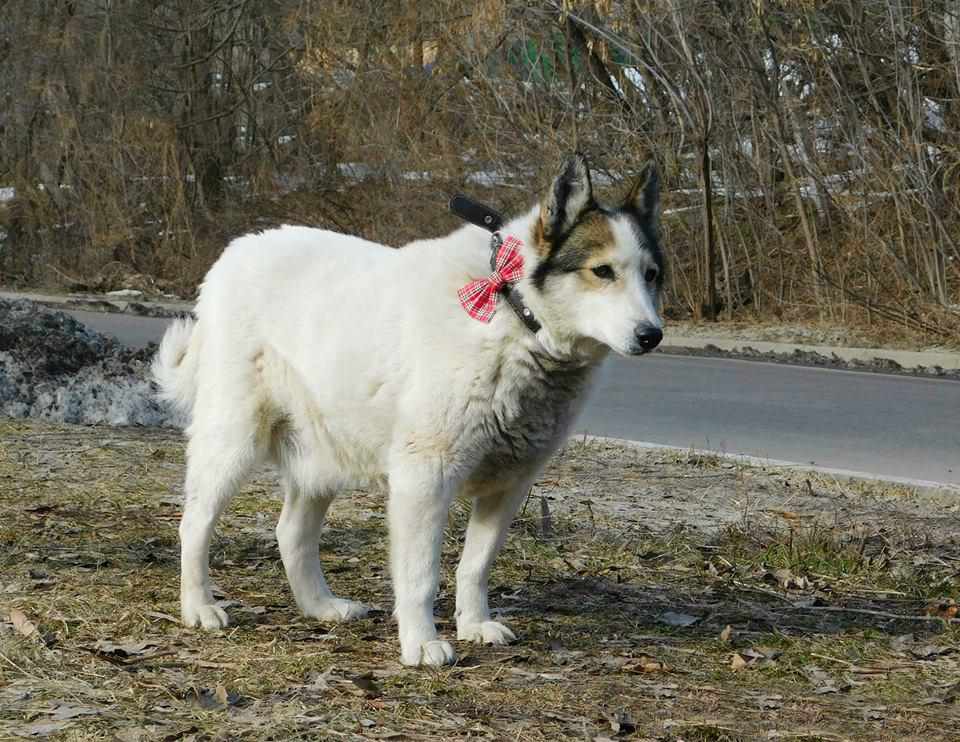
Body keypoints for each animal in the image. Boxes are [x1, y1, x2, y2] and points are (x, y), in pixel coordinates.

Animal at [154, 153, 664, 668]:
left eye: (651, 275)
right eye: (603, 272)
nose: (653, 336)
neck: (513, 312)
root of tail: (236, 251)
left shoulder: (510, 485)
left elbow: (475, 566)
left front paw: (473, 624)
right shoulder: (426, 479)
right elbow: (421, 576)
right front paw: (421, 642)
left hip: (323, 453)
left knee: (291, 532)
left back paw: (321, 606)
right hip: (232, 441)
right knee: (194, 524)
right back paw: (199, 606)